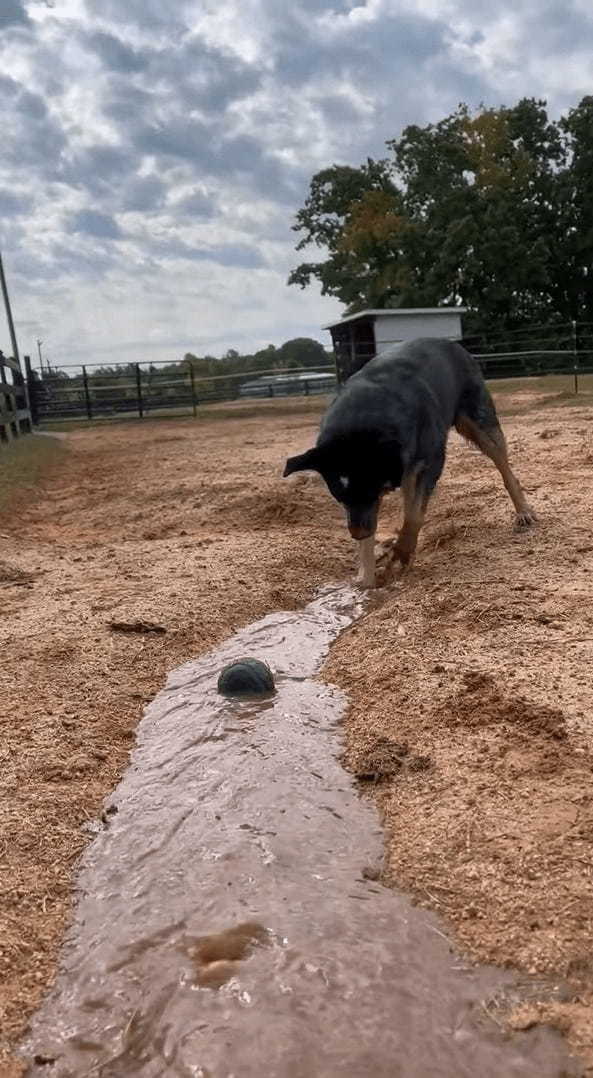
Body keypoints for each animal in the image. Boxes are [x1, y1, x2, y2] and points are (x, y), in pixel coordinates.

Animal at [280, 338, 536, 586]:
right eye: (339, 498)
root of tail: (451, 343)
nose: (357, 534)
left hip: (478, 420)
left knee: (503, 465)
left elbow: (414, 514)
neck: (364, 416)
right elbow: (381, 523)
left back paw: (524, 512)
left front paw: (399, 556)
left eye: (372, 492)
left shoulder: (429, 461)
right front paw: (367, 579)